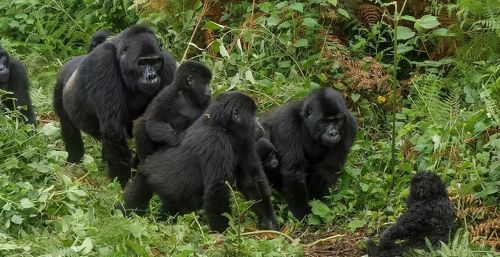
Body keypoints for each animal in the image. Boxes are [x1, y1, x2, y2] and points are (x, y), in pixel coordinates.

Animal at [52, 24, 177, 186]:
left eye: (155, 62)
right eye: (142, 63)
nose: (151, 76)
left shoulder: (168, 66)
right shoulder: (102, 63)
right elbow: (114, 130)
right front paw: (123, 182)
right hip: (60, 86)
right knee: (68, 126)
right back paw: (74, 159)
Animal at [121, 91, 278, 231]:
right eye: (252, 115)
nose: (259, 125)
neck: (224, 127)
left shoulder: (246, 142)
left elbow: (251, 180)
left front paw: (269, 222)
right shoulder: (216, 142)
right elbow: (216, 192)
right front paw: (223, 235)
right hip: (146, 177)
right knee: (137, 196)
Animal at [258, 87, 360, 217]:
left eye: (337, 121)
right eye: (326, 121)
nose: (333, 133)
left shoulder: (350, 125)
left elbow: (326, 170)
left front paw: (314, 203)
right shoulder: (287, 120)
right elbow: (294, 171)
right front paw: (302, 215)